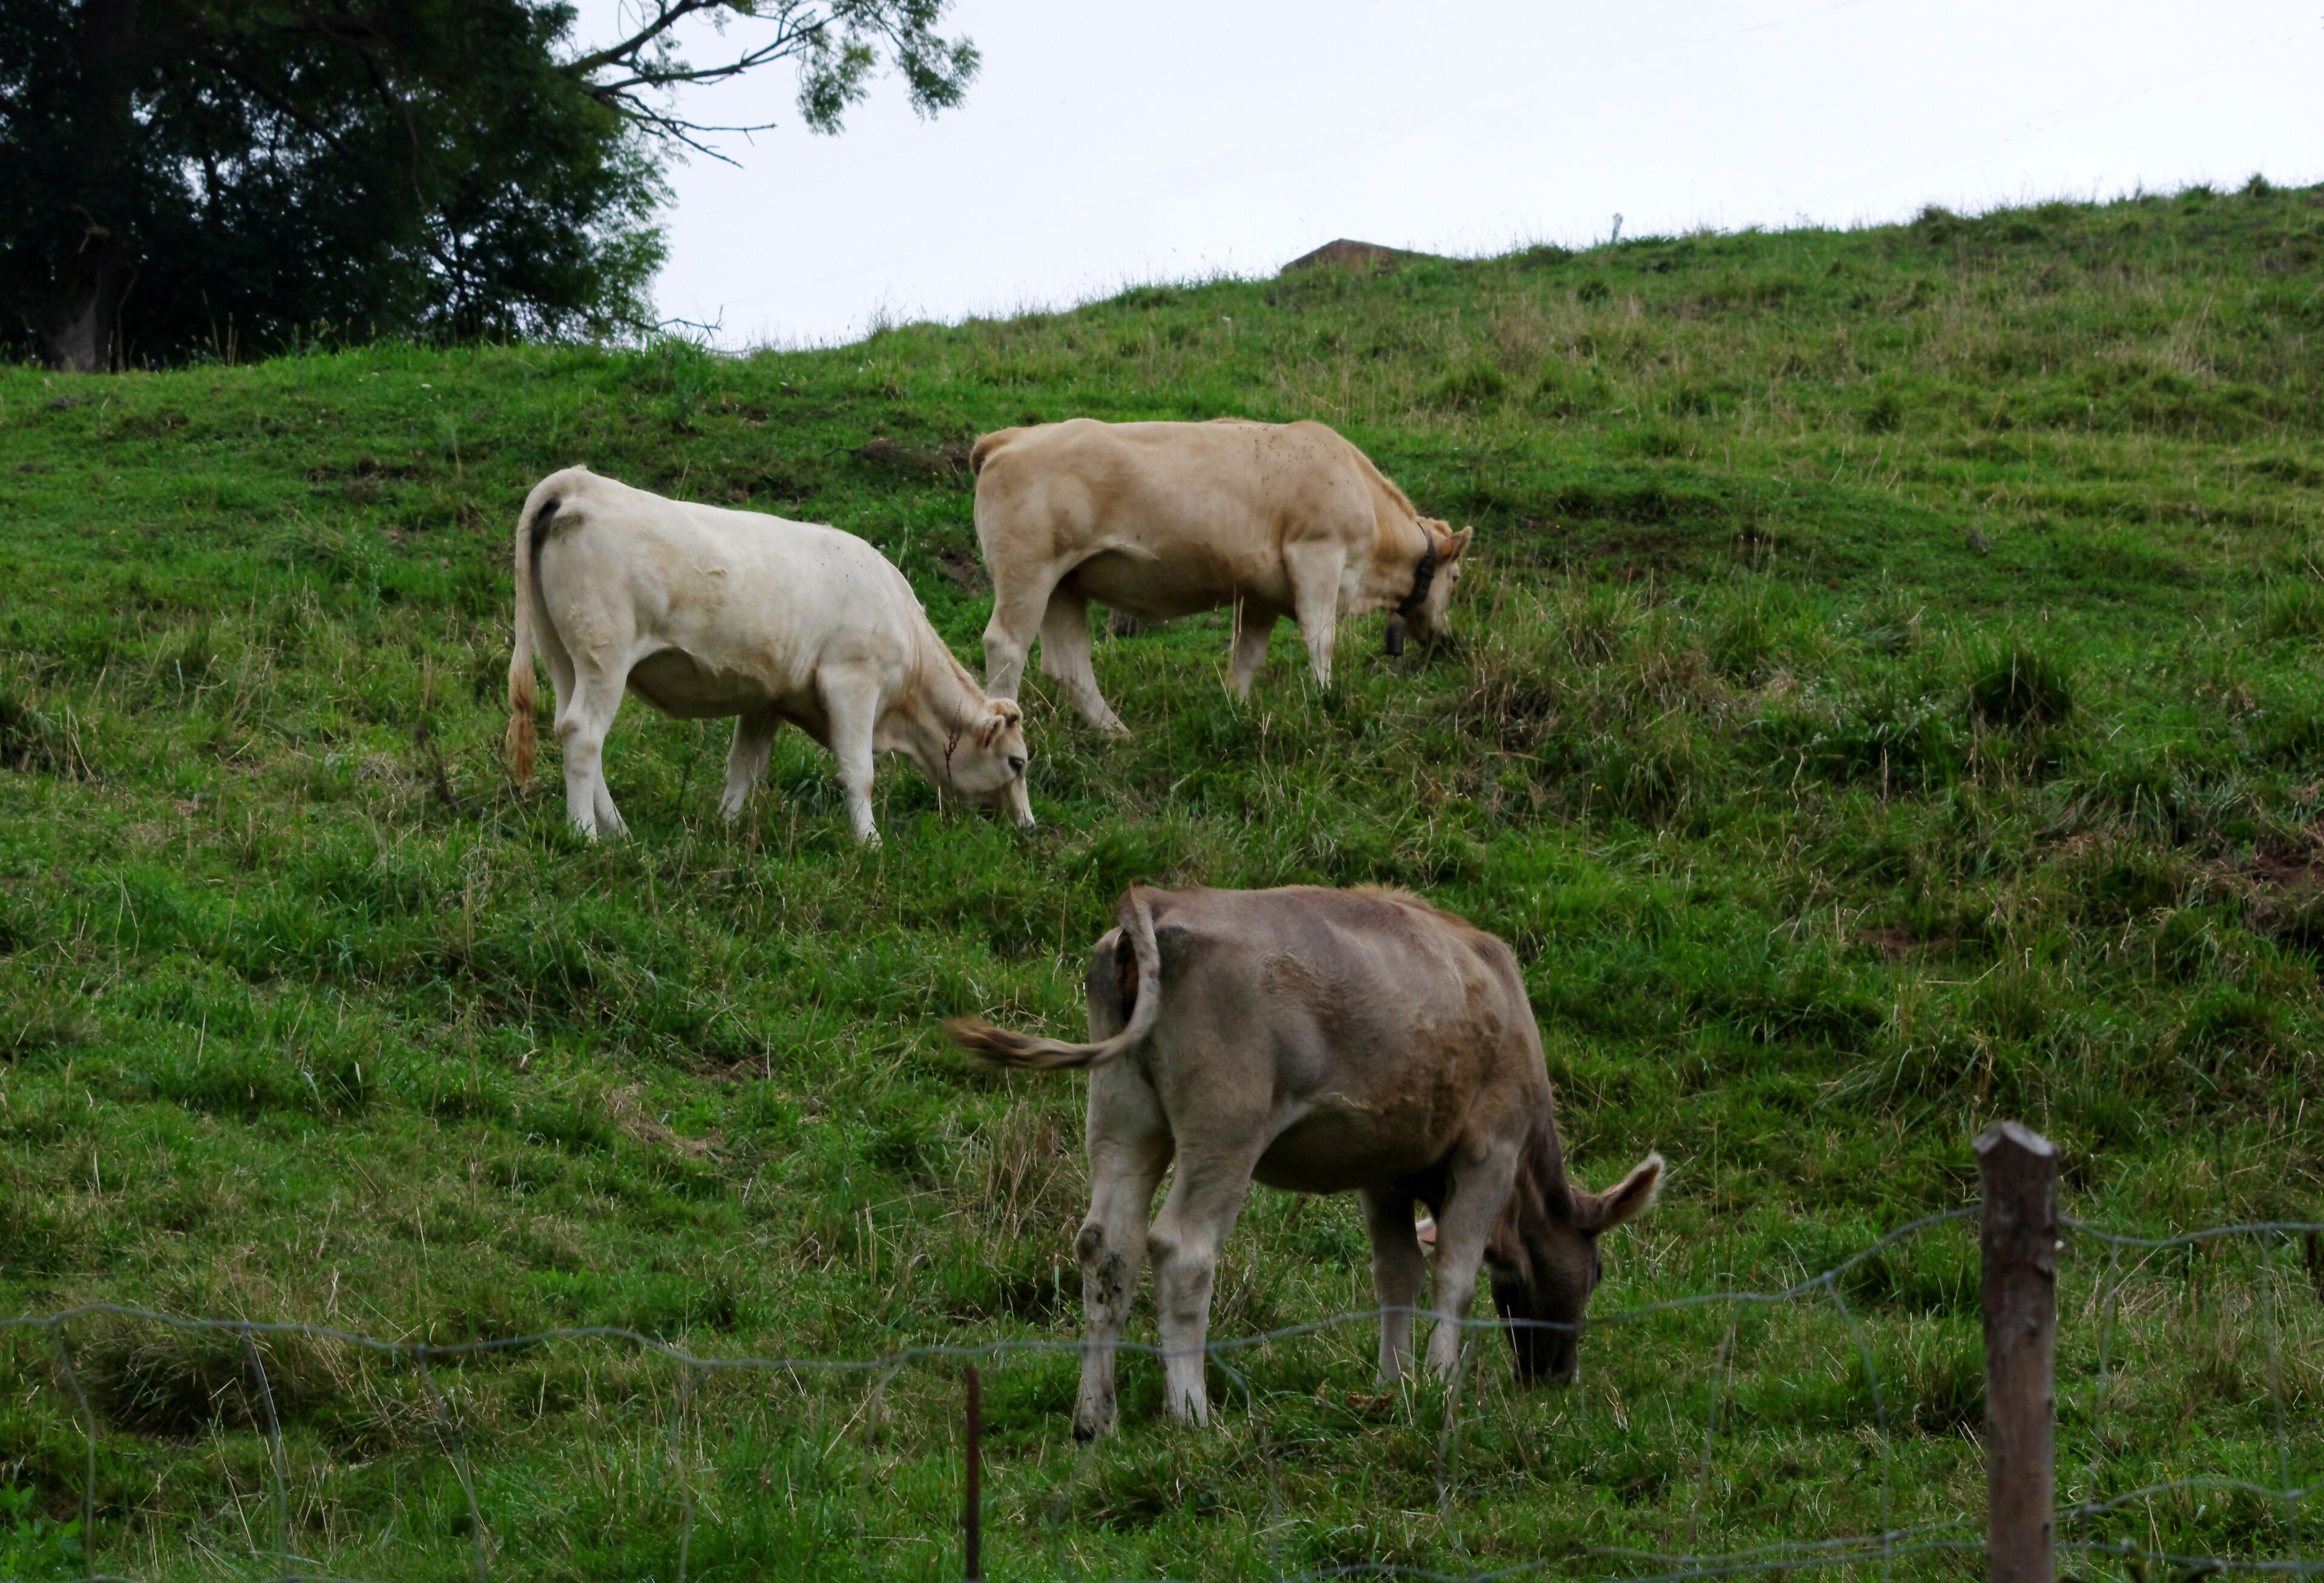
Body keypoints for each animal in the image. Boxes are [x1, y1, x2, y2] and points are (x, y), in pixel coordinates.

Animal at [504, 467, 1032, 845]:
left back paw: (619, 830)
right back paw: (586, 836)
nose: (1028, 828)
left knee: (571, 729)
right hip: (605, 655)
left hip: (563, 656)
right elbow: (859, 773)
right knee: (584, 734)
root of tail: (581, 482)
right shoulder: (852, 681)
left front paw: (728, 826)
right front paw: (870, 843)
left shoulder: (768, 698)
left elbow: (746, 766)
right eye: (1017, 763)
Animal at [945, 883, 1663, 1436]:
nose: (1557, 1378)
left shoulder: (1383, 1168)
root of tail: (1162, 897)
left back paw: (1096, 1419)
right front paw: (1438, 1382)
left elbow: (1396, 1273)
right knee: (1183, 1249)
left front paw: (1395, 1383)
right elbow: (1453, 1275)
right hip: (1225, 1126)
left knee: (1106, 1247)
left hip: (1122, 1115)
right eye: (1598, 1273)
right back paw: (1192, 1412)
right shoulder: (1492, 1145)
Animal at [969, 419, 1473, 731]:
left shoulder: (1262, 594)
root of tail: (1010, 437)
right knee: (1006, 647)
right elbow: (1321, 639)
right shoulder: (1318, 554)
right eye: (1456, 580)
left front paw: (1237, 712)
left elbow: (1246, 657)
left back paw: (1118, 734)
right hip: (1027, 569)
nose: (1447, 639)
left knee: (1070, 665)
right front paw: (1324, 700)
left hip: (1065, 582)